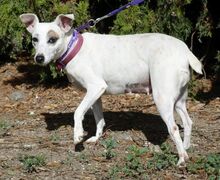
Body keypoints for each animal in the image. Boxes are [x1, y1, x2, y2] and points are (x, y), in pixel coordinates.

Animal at [19, 13, 202, 165]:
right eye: (35, 39)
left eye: (52, 39)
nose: (39, 58)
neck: (73, 48)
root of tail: (184, 50)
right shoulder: (95, 94)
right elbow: (100, 119)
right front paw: (96, 138)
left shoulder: (95, 87)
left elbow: (78, 112)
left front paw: (78, 134)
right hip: (178, 100)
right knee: (188, 122)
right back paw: (186, 147)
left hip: (162, 98)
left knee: (174, 128)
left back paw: (182, 158)